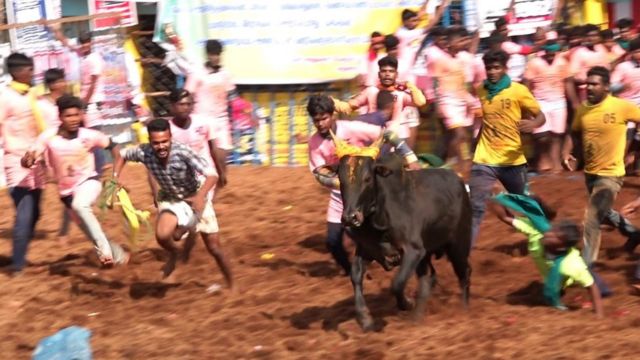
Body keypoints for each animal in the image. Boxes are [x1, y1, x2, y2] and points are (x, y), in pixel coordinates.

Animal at [336, 153, 470, 330]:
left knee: (464, 273)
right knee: (429, 278)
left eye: (367, 179)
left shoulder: (414, 251)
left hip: (458, 246)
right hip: (427, 257)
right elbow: (356, 276)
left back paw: (464, 310)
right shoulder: (367, 250)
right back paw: (418, 316)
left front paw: (407, 303)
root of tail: (459, 180)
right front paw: (365, 319)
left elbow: (397, 283)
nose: (350, 217)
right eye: (340, 179)